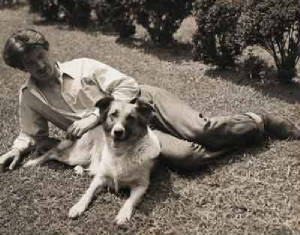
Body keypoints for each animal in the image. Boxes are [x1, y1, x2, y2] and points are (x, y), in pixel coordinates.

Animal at [24, 97, 161, 224]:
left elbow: (130, 201)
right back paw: (32, 162)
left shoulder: (141, 186)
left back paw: (79, 170)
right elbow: (88, 193)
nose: (117, 132)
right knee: (52, 152)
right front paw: (78, 207)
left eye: (131, 117)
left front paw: (123, 214)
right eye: (113, 114)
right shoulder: (100, 178)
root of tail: (90, 128)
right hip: (77, 155)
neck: (120, 153)